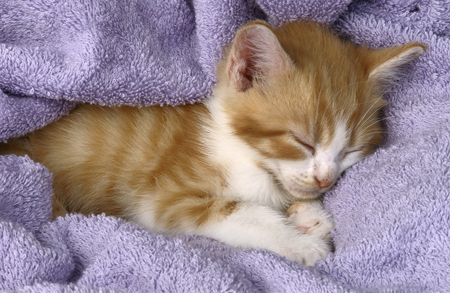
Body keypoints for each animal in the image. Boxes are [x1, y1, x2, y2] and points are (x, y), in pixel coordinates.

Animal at [0, 20, 424, 264]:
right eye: (302, 141)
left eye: (351, 150)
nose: (326, 179)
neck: (241, 151)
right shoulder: (163, 199)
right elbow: (244, 213)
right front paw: (300, 243)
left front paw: (309, 215)